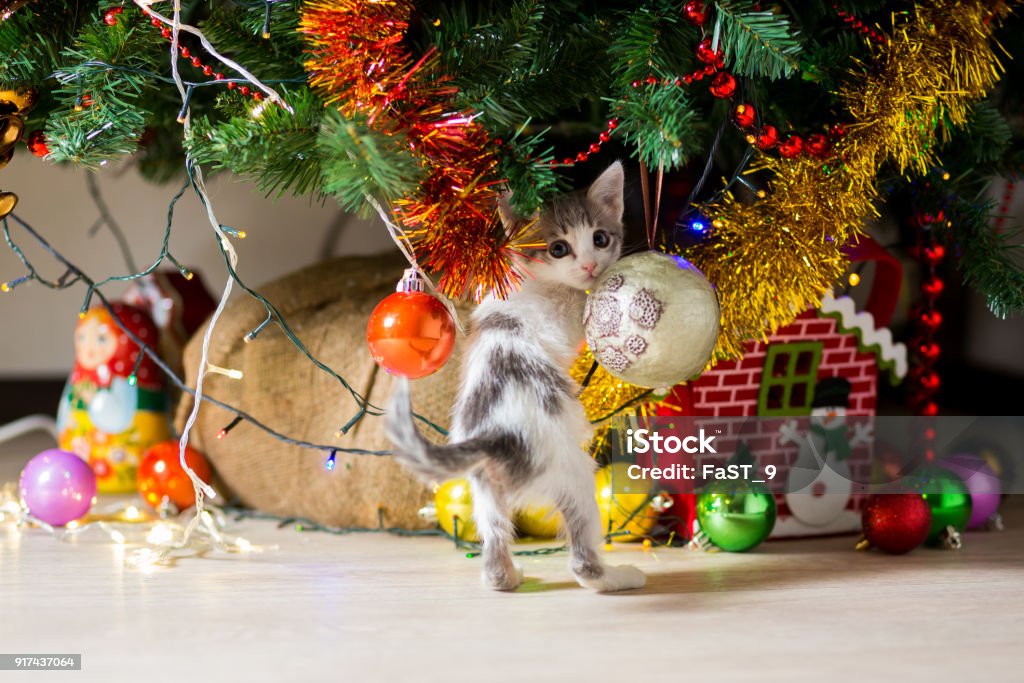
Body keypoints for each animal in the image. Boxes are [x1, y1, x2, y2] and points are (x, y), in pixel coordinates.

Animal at [387, 163, 643, 593]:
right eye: (558, 248)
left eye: (600, 237)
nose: (591, 267)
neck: (535, 278)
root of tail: (497, 433)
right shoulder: (564, 317)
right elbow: (588, 315)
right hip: (571, 470)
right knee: (582, 558)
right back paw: (616, 578)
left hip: (483, 485)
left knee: (493, 543)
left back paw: (506, 575)